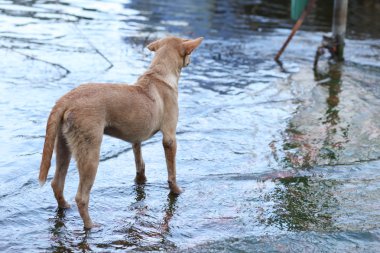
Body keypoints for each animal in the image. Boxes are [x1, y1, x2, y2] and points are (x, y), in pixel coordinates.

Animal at [38, 35, 203, 227]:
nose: (190, 61)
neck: (159, 74)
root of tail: (66, 99)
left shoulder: (136, 139)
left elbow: (140, 165)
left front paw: (141, 181)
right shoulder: (169, 137)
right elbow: (172, 173)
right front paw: (177, 191)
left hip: (63, 147)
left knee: (57, 184)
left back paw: (64, 206)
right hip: (90, 155)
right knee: (81, 197)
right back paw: (91, 226)